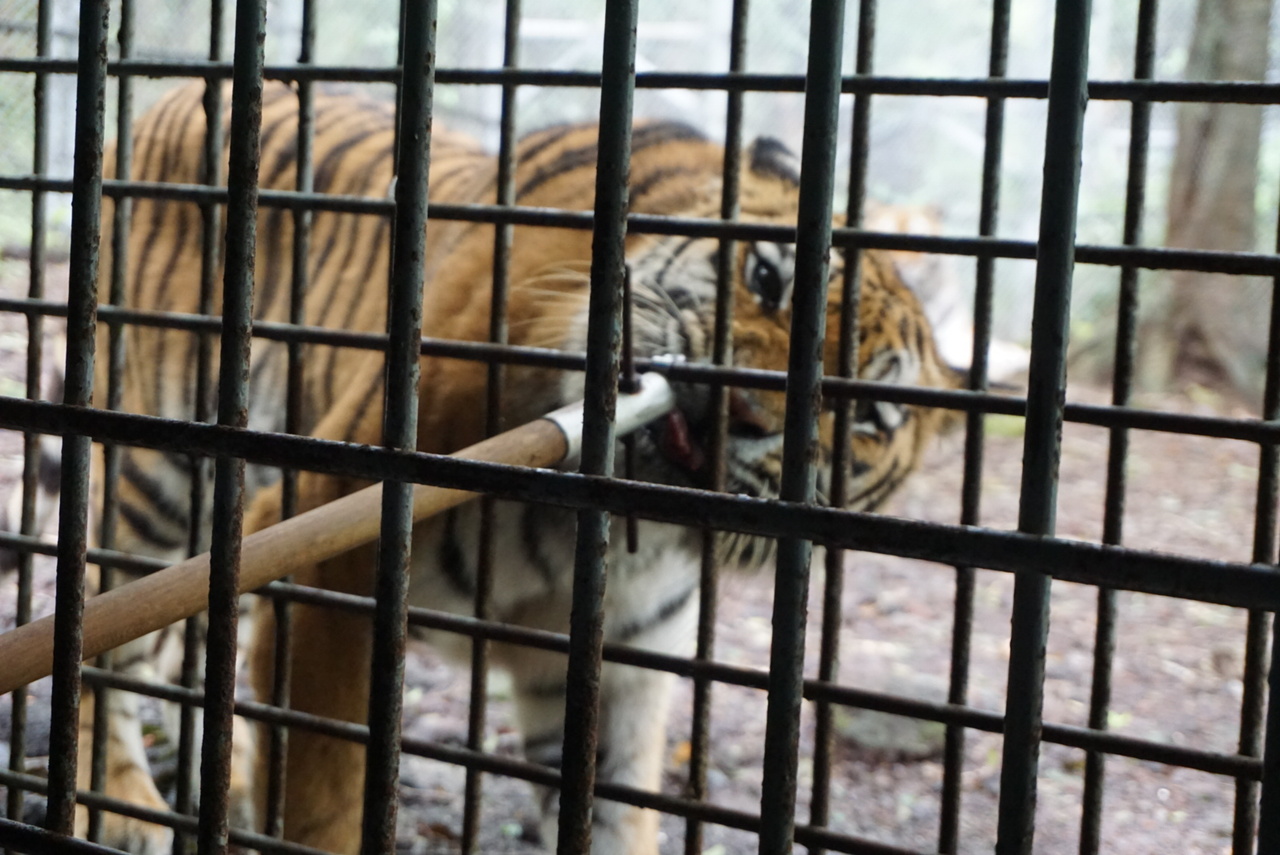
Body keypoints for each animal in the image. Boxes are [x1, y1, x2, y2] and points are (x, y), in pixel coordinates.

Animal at [5, 79, 962, 855]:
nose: (742, 409)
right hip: (160, 479)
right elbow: (323, 788)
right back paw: (120, 802)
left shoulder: (613, 666)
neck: (609, 536)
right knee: (106, 627)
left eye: (867, 416)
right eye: (767, 276)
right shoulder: (329, 566)